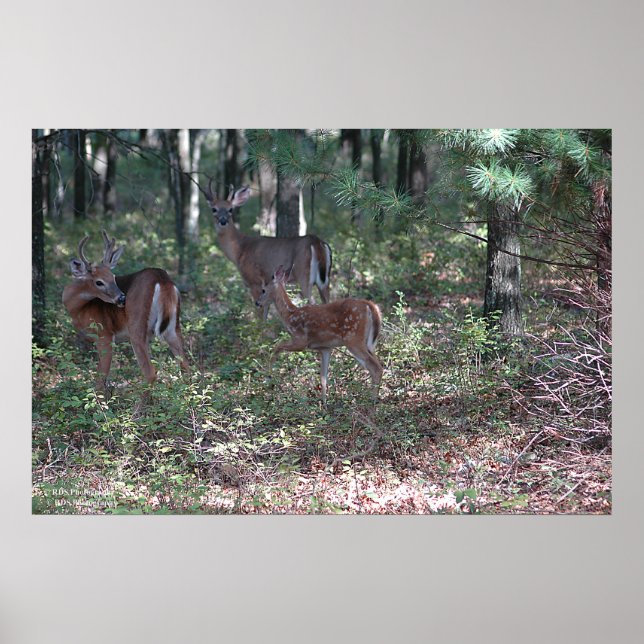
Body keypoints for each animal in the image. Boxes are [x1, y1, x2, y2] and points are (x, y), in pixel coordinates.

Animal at [62, 231, 189, 397]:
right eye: (99, 282)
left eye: (113, 277)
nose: (122, 298)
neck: (78, 308)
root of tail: (161, 279)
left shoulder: (104, 335)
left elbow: (100, 379)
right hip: (172, 326)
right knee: (186, 366)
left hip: (136, 324)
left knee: (150, 372)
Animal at [203, 182, 332, 319]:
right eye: (214, 209)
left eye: (230, 209)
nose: (223, 221)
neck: (240, 249)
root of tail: (316, 242)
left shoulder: (254, 280)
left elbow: (260, 312)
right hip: (324, 280)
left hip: (304, 274)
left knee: (312, 302)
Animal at [256, 266, 384, 405]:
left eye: (263, 290)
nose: (257, 302)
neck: (290, 315)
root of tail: (371, 306)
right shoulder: (325, 348)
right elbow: (323, 377)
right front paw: (324, 404)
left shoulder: (301, 340)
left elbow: (277, 347)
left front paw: (268, 377)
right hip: (368, 343)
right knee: (379, 364)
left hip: (353, 339)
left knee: (375, 368)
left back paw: (373, 401)